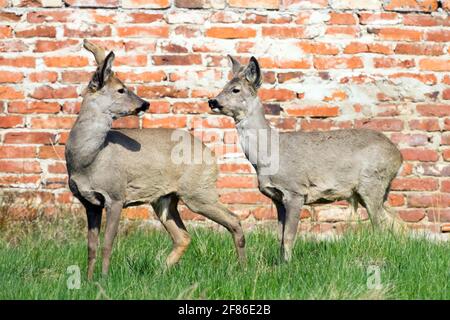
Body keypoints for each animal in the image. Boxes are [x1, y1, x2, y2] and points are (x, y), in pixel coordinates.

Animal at [65, 41, 244, 278]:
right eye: (121, 89)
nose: (145, 104)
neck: (89, 159)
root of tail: (211, 154)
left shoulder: (116, 195)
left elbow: (107, 243)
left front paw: (103, 279)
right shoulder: (89, 202)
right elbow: (91, 246)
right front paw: (88, 279)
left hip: (198, 190)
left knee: (233, 219)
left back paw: (244, 268)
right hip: (164, 198)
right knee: (183, 236)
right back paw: (160, 272)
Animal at [209, 56, 402, 262]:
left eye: (235, 89)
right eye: (224, 86)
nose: (212, 101)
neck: (269, 154)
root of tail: (399, 155)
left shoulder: (295, 191)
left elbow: (289, 236)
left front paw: (288, 265)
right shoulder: (277, 198)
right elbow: (280, 237)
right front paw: (280, 264)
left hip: (372, 182)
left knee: (381, 226)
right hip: (373, 190)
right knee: (395, 222)